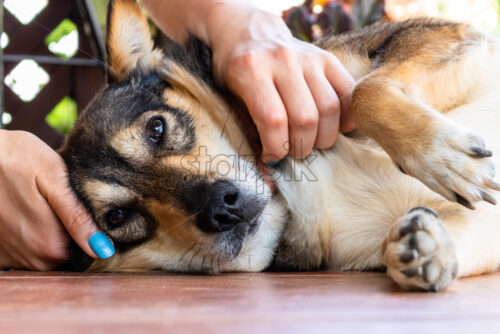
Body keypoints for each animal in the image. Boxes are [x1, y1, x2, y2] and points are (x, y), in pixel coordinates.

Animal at [59, 0, 500, 292]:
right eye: (118, 217)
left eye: (156, 129)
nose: (221, 207)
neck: (287, 194)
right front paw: (425, 247)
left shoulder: (445, 38)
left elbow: (364, 90)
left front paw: (445, 158)